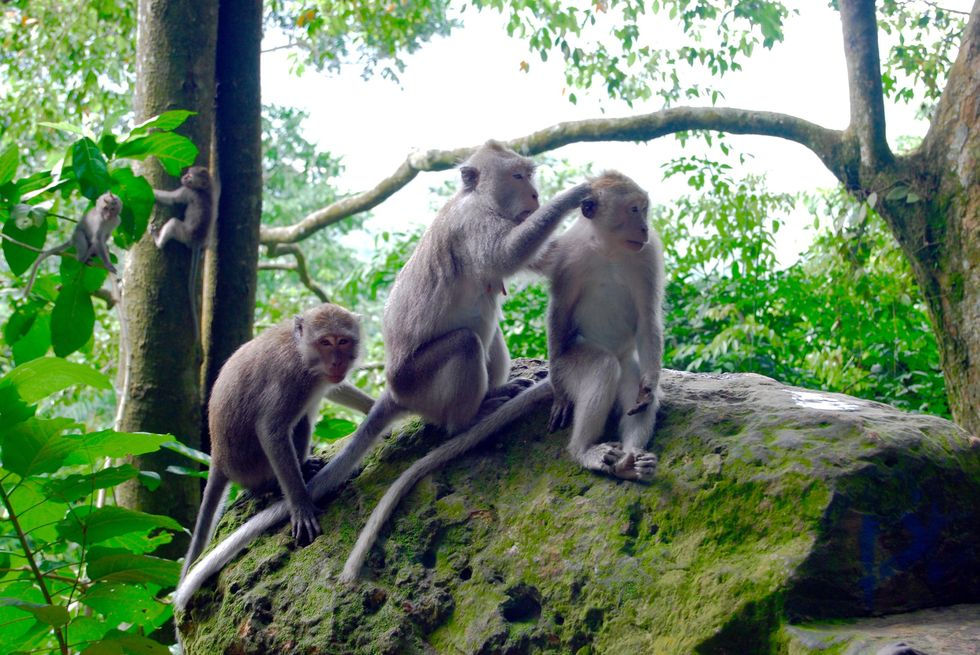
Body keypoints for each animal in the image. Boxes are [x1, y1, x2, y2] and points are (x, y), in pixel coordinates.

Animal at [149, 165, 214, 338]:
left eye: (190, 176)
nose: (184, 177)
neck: (203, 189)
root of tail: (197, 241)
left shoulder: (186, 191)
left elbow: (170, 199)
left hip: (183, 233)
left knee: (173, 224)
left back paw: (158, 241)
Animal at [179, 302, 375, 582]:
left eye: (343, 341)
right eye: (325, 342)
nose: (337, 361)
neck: (303, 354)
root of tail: (218, 457)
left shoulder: (325, 377)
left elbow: (337, 388)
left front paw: (376, 405)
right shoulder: (289, 378)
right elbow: (271, 430)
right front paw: (301, 505)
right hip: (252, 466)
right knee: (298, 425)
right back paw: (278, 482)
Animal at [339, 171, 664, 581]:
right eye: (634, 209)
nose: (645, 226)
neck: (608, 249)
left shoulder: (647, 256)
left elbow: (648, 321)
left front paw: (649, 385)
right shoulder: (570, 257)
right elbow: (559, 312)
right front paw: (561, 395)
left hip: (627, 362)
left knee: (633, 387)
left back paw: (632, 459)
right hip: (571, 364)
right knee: (600, 368)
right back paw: (584, 450)